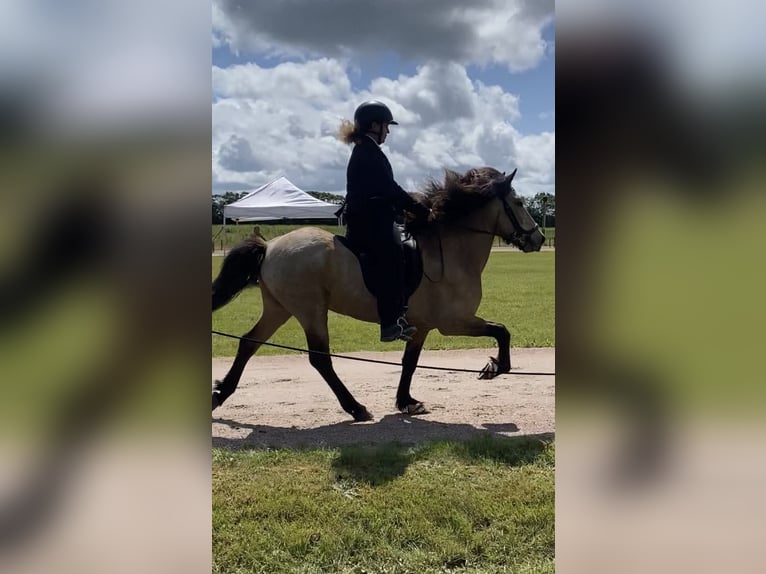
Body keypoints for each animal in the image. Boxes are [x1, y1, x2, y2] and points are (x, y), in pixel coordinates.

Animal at [212, 166, 544, 424]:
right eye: (518, 202)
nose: (539, 238)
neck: (451, 251)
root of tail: (270, 245)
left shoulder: (422, 326)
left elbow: (410, 361)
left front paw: (407, 401)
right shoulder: (454, 322)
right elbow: (501, 330)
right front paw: (496, 368)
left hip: (280, 308)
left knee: (248, 343)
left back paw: (220, 394)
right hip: (310, 311)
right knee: (320, 359)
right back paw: (356, 408)